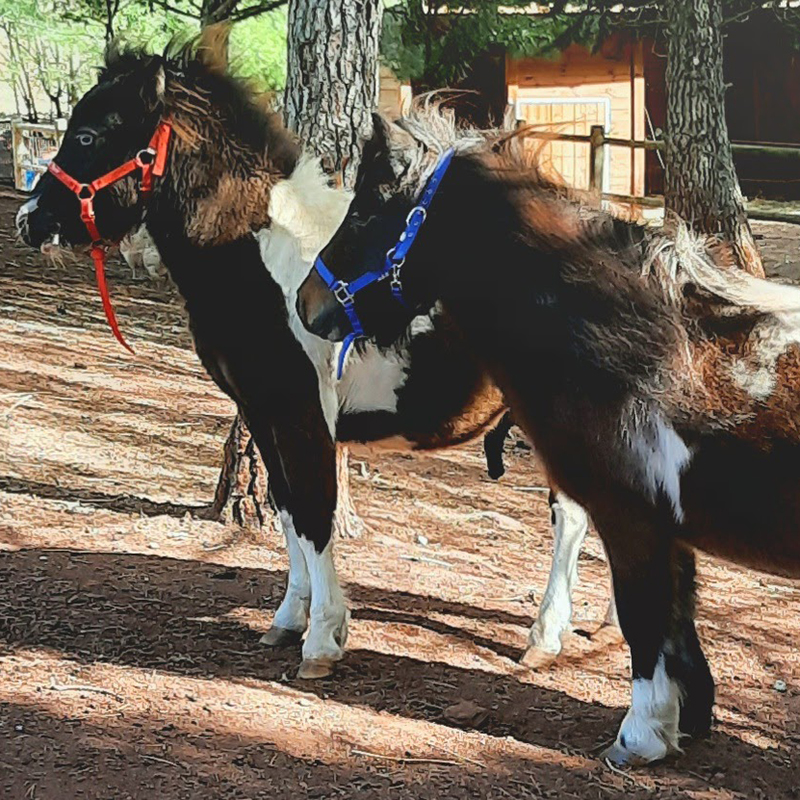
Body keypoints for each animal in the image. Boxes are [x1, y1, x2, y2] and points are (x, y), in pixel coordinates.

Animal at [296, 106, 800, 764]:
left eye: (361, 212)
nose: (304, 303)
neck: (649, 349)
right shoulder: (671, 530)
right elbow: (680, 625)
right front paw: (686, 721)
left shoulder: (632, 519)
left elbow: (645, 620)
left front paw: (640, 736)